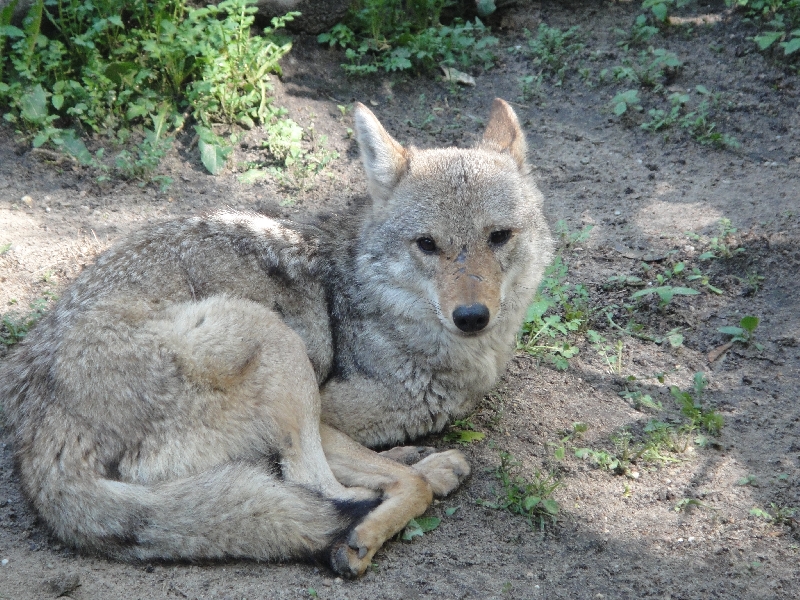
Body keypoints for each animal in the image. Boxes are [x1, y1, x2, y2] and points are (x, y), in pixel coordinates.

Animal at [0, 98, 552, 576]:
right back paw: (365, 527)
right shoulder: (326, 416)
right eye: (427, 245)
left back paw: (429, 464)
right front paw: (369, 527)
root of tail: (39, 435)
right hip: (275, 339)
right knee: (325, 489)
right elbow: (387, 483)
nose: (472, 316)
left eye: (498, 237)